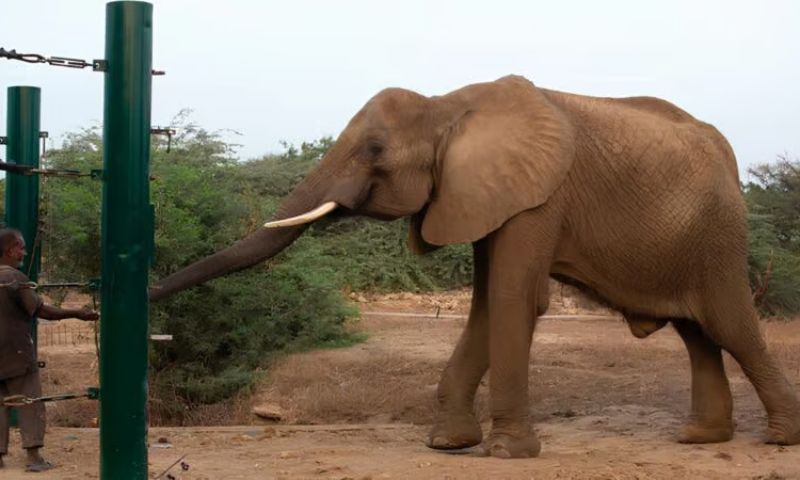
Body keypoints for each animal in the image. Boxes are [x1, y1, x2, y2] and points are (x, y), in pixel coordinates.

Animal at [150, 75, 800, 458]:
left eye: (376, 151)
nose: (149, 294)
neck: (448, 106)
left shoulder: (539, 196)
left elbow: (515, 297)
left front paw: (507, 452)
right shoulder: (478, 194)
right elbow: (487, 301)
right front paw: (449, 445)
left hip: (718, 233)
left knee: (729, 325)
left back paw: (778, 440)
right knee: (698, 332)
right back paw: (699, 438)